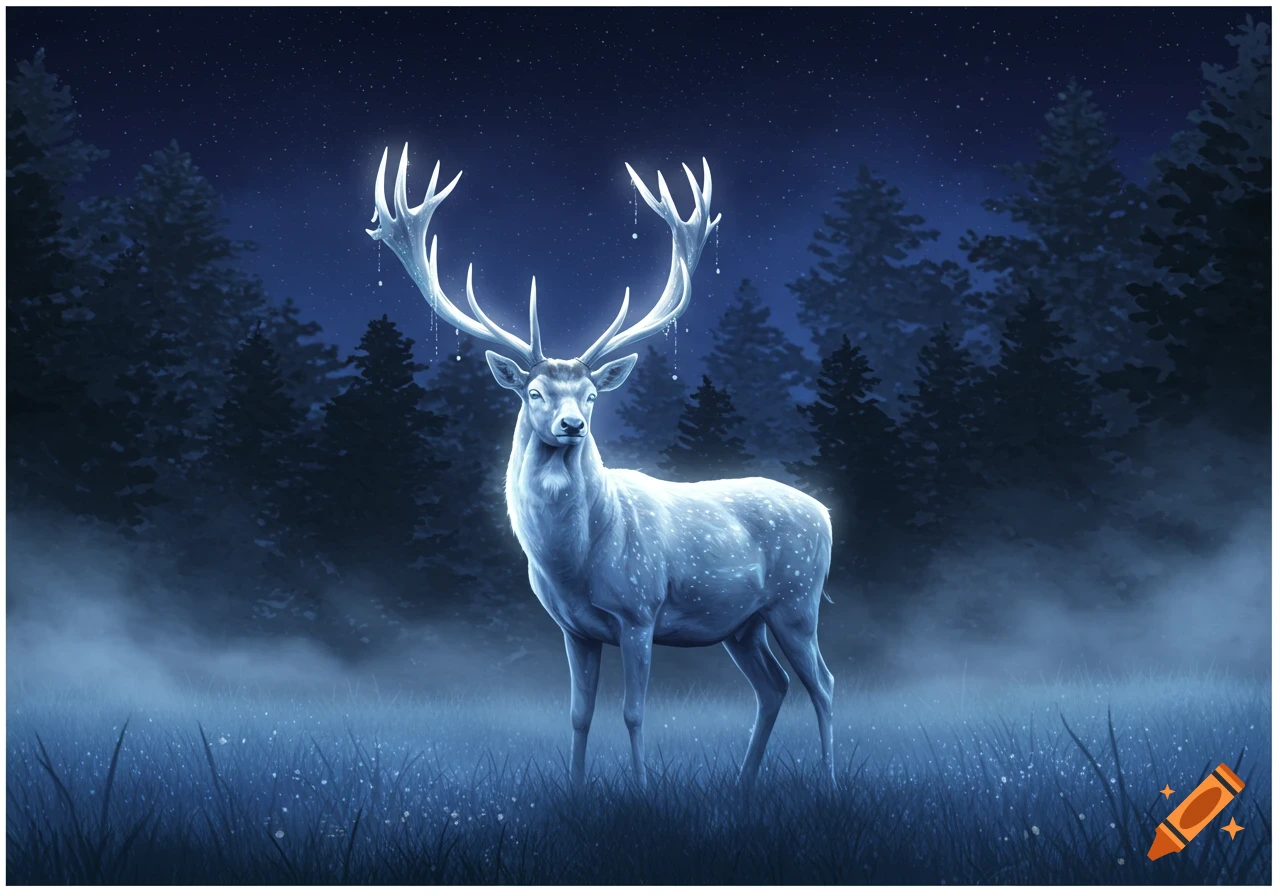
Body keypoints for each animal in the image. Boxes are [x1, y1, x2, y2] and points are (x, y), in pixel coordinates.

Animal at [367, 145, 835, 789]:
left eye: (591, 395)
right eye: (534, 392)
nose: (572, 426)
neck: (576, 561)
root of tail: (827, 512)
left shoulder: (639, 610)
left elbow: (634, 713)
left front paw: (640, 792)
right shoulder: (573, 629)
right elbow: (580, 714)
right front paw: (576, 789)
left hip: (797, 599)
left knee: (825, 685)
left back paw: (832, 781)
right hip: (744, 623)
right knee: (774, 687)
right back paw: (743, 786)